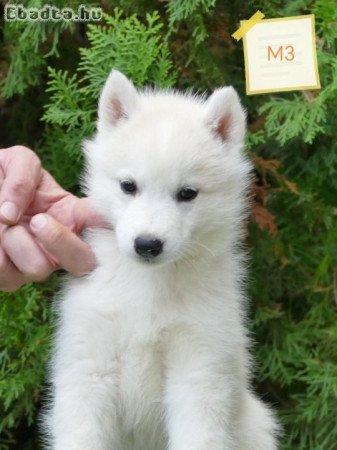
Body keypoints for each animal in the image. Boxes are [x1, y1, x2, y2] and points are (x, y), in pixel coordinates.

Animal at [42, 70, 278, 450]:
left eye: (188, 193)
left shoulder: (199, 370)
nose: (147, 245)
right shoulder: (89, 367)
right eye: (128, 185)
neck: (148, 286)